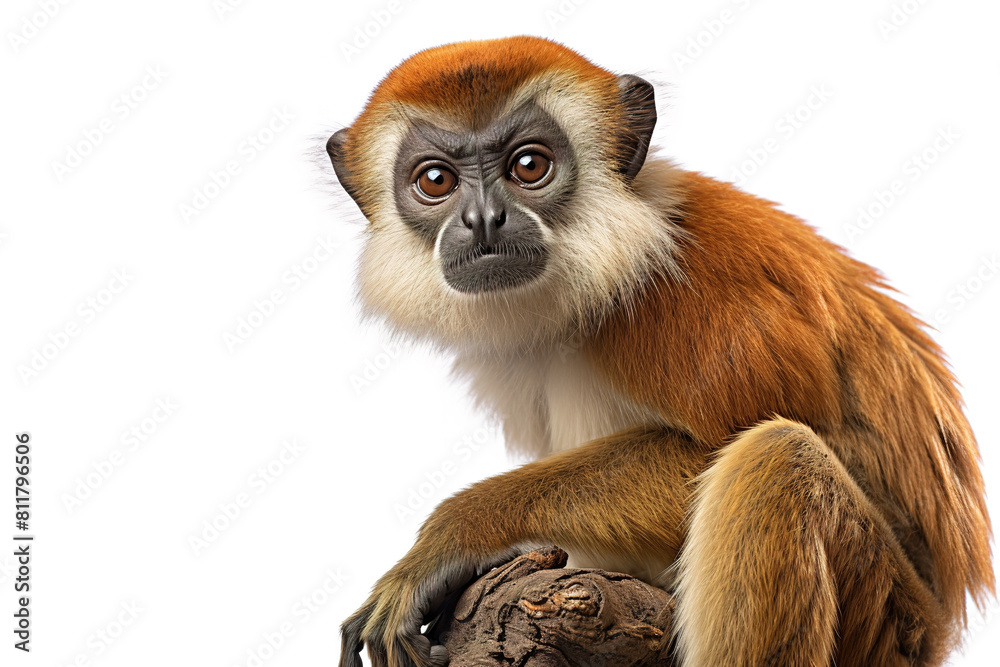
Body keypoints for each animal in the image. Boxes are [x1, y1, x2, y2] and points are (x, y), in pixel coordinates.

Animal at [325, 36, 994, 667]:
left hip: (889, 621)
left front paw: (455, 534)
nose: (484, 219)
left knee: (778, 456)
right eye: (435, 180)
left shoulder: (681, 307)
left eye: (529, 166)